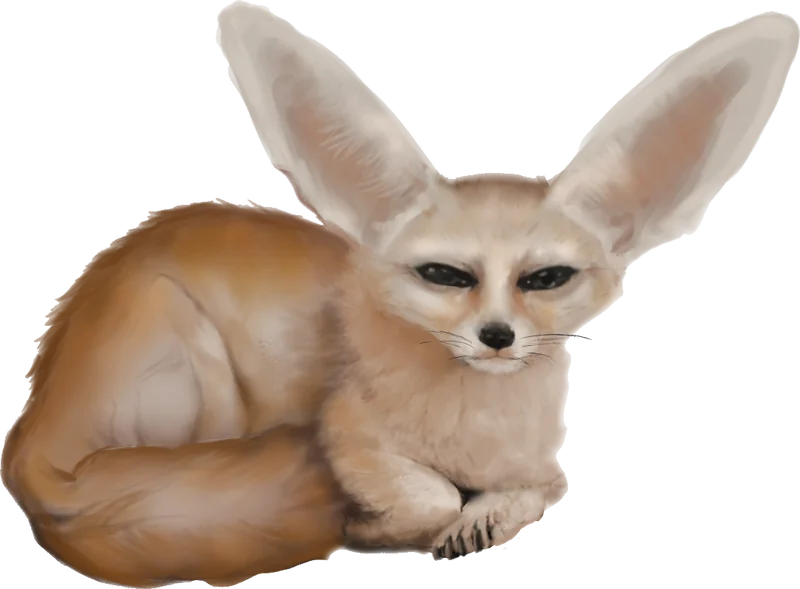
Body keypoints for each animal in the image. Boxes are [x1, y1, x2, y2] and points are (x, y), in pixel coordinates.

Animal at [2, 2, 798, 587]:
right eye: (445, 275)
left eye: (545, 279)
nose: (498, 336)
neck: (478, 425)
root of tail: (31, 430)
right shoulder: (347, 429)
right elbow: (429, 492)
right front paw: (392, 527)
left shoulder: (544, 464)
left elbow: (549, 486)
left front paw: (478, 523)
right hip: (188, 340)